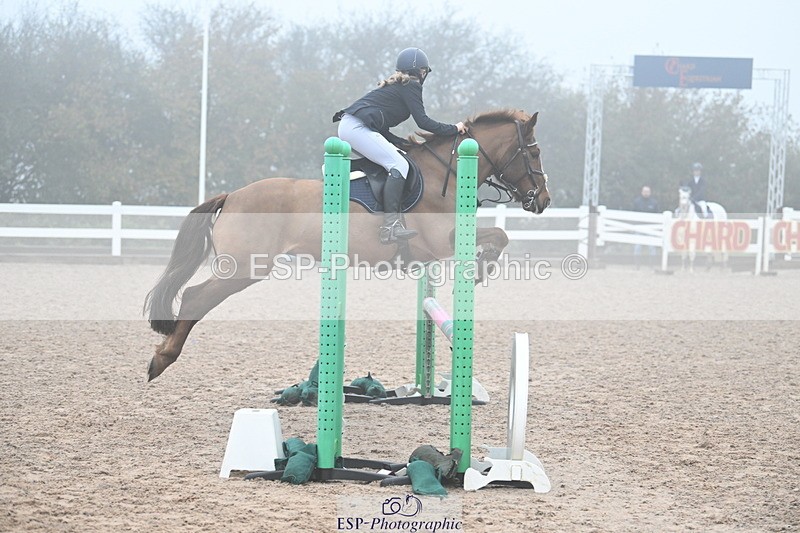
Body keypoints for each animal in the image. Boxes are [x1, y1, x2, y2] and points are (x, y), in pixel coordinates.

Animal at [143, 109, 551, 381]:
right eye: (533, 153)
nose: (543, 200)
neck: (444, 173)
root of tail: (232, 195)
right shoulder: (442, 241)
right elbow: (499, 236)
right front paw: (483, 266)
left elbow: (501, 236)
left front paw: (484, 266)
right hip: (244, 268)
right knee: (194, 297)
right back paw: (161, 360)